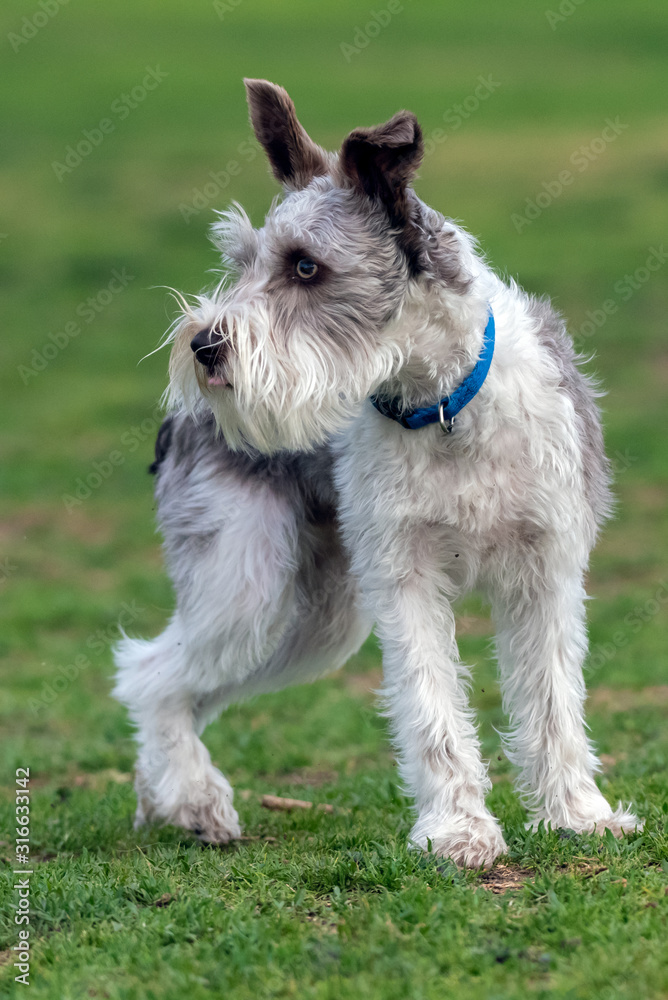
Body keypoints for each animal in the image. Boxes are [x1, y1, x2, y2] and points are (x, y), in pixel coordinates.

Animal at [112, 80, 640, 868]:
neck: (444, 406)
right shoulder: (403, 574)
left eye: (305, 266)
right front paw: (458, 831)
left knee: (172, 680)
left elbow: (553, 703)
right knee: (150, 674)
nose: (204, 346)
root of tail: (184, 415)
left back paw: (170, 800)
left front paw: (579, 815)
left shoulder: (545, 568)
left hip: (313, 620)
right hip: (250, 588)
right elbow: (431, 707)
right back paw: (194, 799)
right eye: (241, 261)